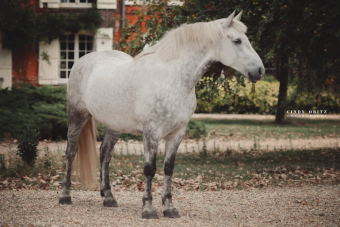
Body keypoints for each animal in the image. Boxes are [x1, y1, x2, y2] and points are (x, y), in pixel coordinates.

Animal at [59, 10, 266, 218]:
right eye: (237, 41)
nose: (260, 70)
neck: (173, 78)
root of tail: (83, 60)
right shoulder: (152, 132)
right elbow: (150, 169)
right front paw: (148, 209)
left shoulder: (177, 133)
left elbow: (168, 168)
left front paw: (169, 207)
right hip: (77, 117)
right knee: (71, 152)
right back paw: (65, 196)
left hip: (114, 125)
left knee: (105, 154)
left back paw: (108, 197)